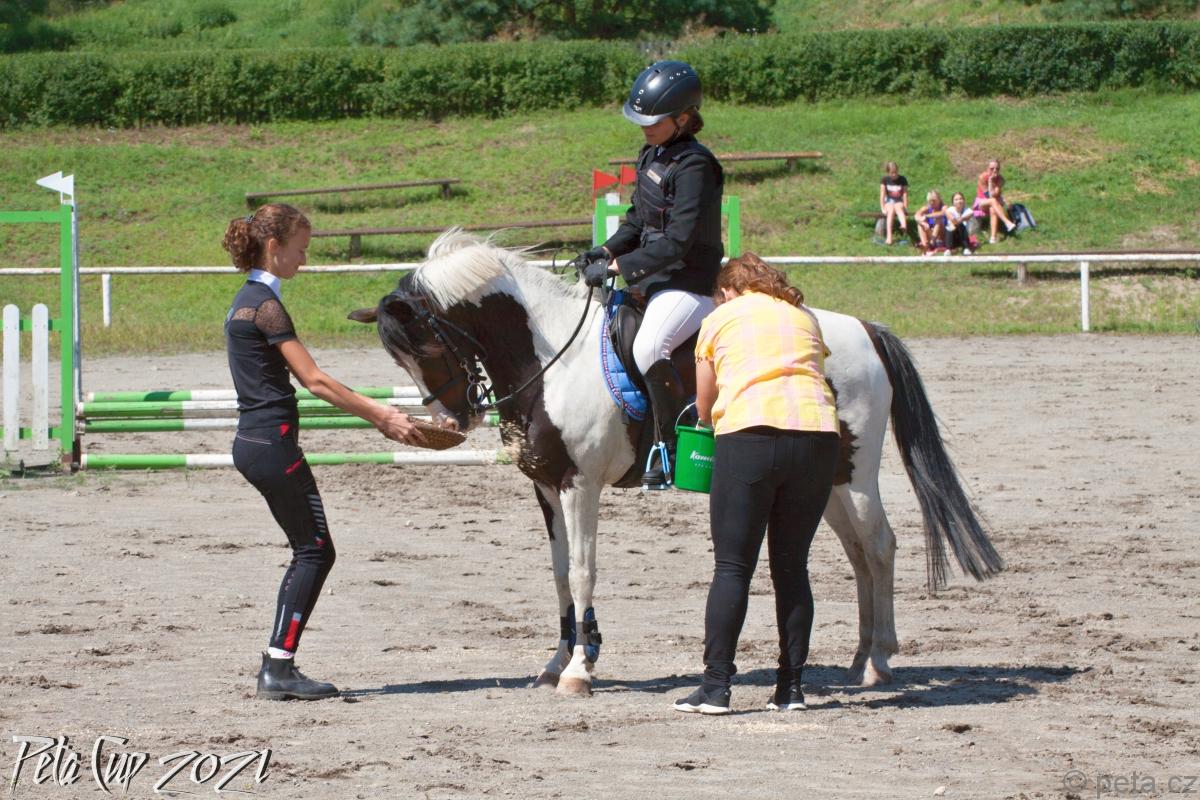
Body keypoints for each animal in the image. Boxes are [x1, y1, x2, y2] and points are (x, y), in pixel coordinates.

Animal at [349, 230, 1003, 695]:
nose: (455, 419)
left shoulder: (580, 484)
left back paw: (878, 664)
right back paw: (862, 657)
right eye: (401, 359)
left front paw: (578, 671)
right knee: (860, 553)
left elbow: (582, 571)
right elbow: (560, 575)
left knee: (881, 546)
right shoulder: (547, 487)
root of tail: (865, 329)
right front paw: (558, 660)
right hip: (830, 483)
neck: (551, 354)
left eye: (427, 345)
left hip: (855, 474)